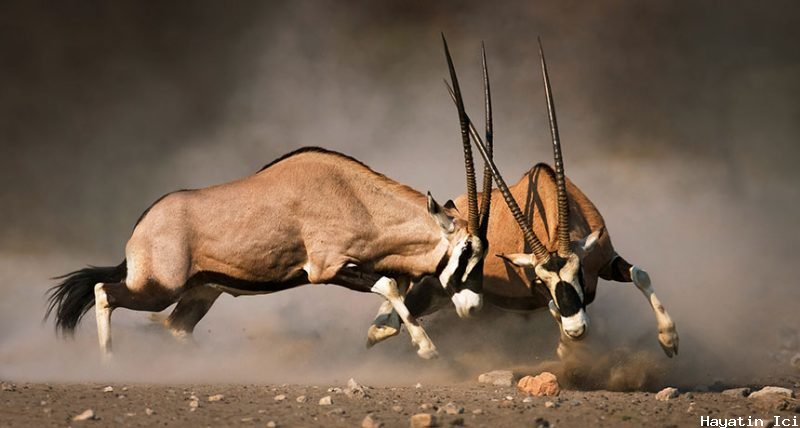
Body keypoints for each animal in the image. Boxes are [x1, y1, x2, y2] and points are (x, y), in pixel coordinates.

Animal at [48, 103, 494, 358]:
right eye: (465, 252)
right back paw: (109, 362)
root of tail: (142, 225)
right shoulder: (325, 269)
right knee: (104, 293)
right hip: (158, 289)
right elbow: (388, 285)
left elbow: (394, 288)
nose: (474, 307)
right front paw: (426, 348)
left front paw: (384, 333)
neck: (354, 196)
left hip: (200, 293)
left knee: (176, 328)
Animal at [366, 39, 680, 358]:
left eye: (579, 273)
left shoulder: (604, 259)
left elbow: (640, 274)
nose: (576, 330)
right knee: (386, 323)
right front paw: (566, 351)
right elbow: (554, 306)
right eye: (541, 280)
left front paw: (669, 339)